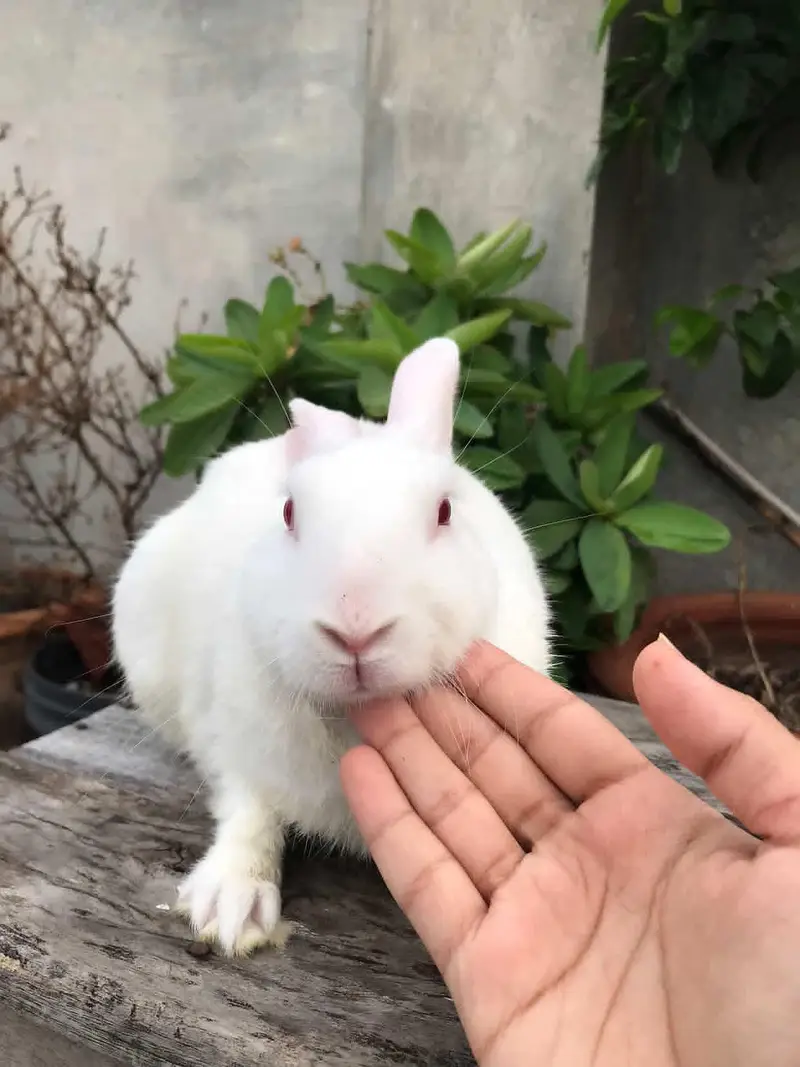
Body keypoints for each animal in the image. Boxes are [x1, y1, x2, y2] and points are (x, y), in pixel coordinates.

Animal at [111, 336, 552, 957]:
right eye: (289, 512)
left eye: (444, 511)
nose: (355, 630)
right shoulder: (231, 741)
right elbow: (248, 813)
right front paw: (230, 910)